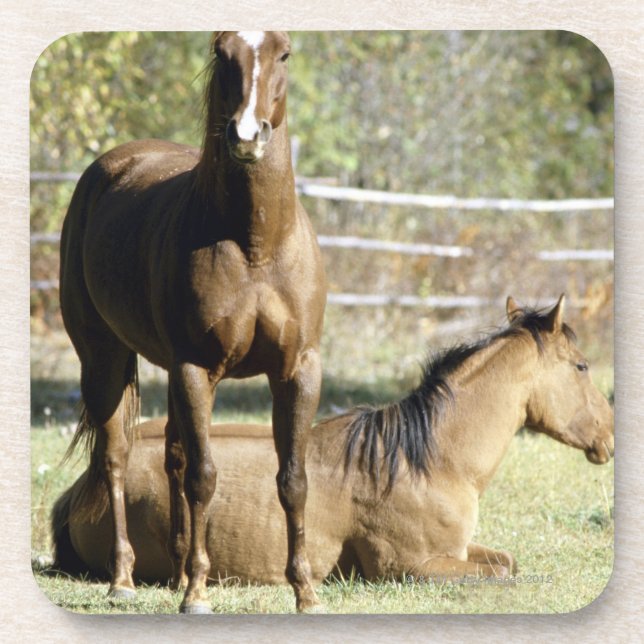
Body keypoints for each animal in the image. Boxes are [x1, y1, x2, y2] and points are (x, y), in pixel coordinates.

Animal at [52, 296, 613, 589]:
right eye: (581, 366)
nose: (609, 435)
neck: (428, 462)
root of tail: (83, 488)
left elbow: (507, 563)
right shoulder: (410, 570)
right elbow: (502, 576)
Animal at [59, 31, 326, 613]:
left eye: (284, 53)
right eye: (223, 54)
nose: (247, 135)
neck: (255, 246)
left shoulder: (298, 370)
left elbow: (293, 479)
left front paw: (305, 592)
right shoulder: (196, 368)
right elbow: (206, 477)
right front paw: (198, 594)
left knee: (172, 461)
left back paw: (178, 569)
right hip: (104, 359)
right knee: (116, 459)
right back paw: (123, 579)